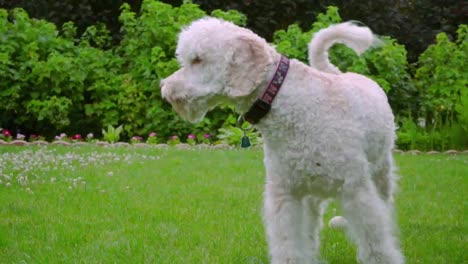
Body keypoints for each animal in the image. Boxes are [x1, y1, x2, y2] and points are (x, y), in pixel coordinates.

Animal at [160, 17, 402, 262]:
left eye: (197, 59)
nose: (164, 87)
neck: (293, 104)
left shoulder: (356, 191)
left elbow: (376, 244)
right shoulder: (286, 195)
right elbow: (288, 244)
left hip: (380, 172)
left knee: (384, 201)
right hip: (311, 191)